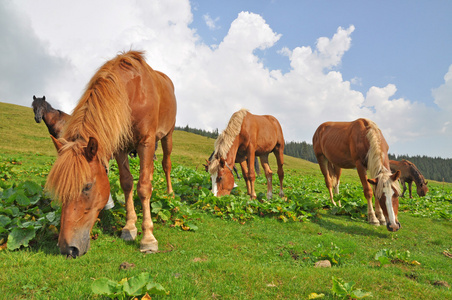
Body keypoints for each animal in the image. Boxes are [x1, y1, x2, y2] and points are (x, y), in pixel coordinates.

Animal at [45, 51, 177, 258]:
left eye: (87, 187)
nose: (68, 248)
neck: (131, 94)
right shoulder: (120, 147)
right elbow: (128, 183)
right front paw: (129, 227)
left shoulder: (146, 142)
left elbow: (143, 187)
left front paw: (148, 238)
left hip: (167, 136)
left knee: (166, 164)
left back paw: (170, 194)